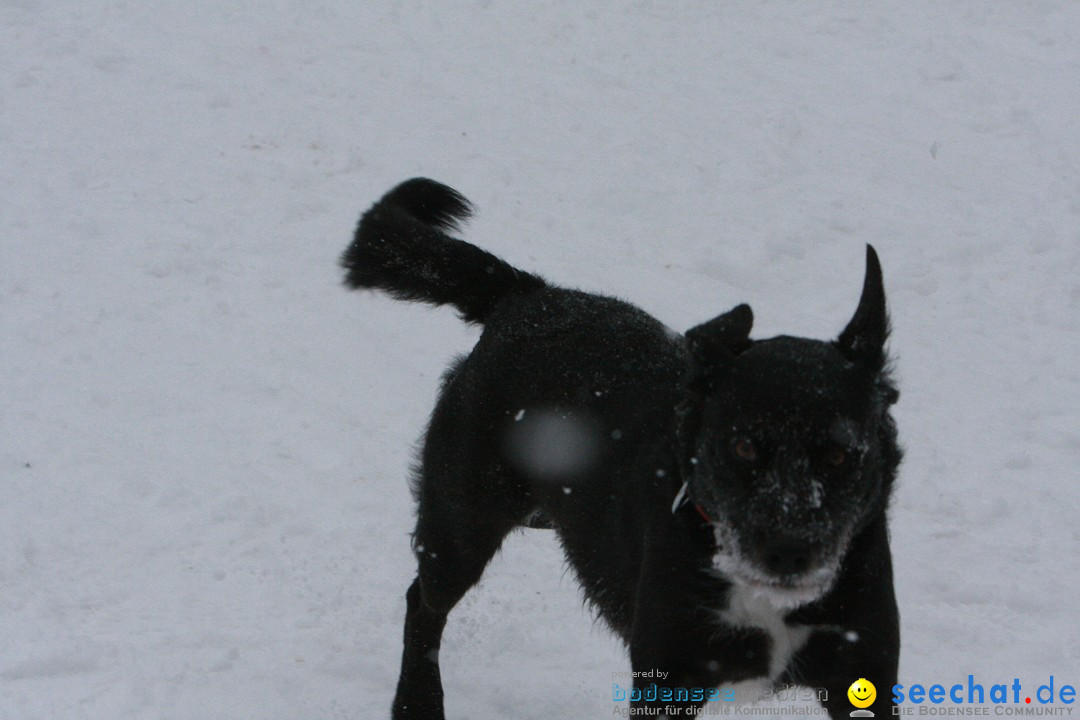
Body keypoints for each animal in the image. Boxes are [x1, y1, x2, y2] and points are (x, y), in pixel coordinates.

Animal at [341, 177, 898, 716]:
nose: (789, 550)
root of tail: (526, 297)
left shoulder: (864, 672)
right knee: (422, 603)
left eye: (839, 454)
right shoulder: (666, 681)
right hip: (461, 521)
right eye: (741, 447)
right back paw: (417, 702)